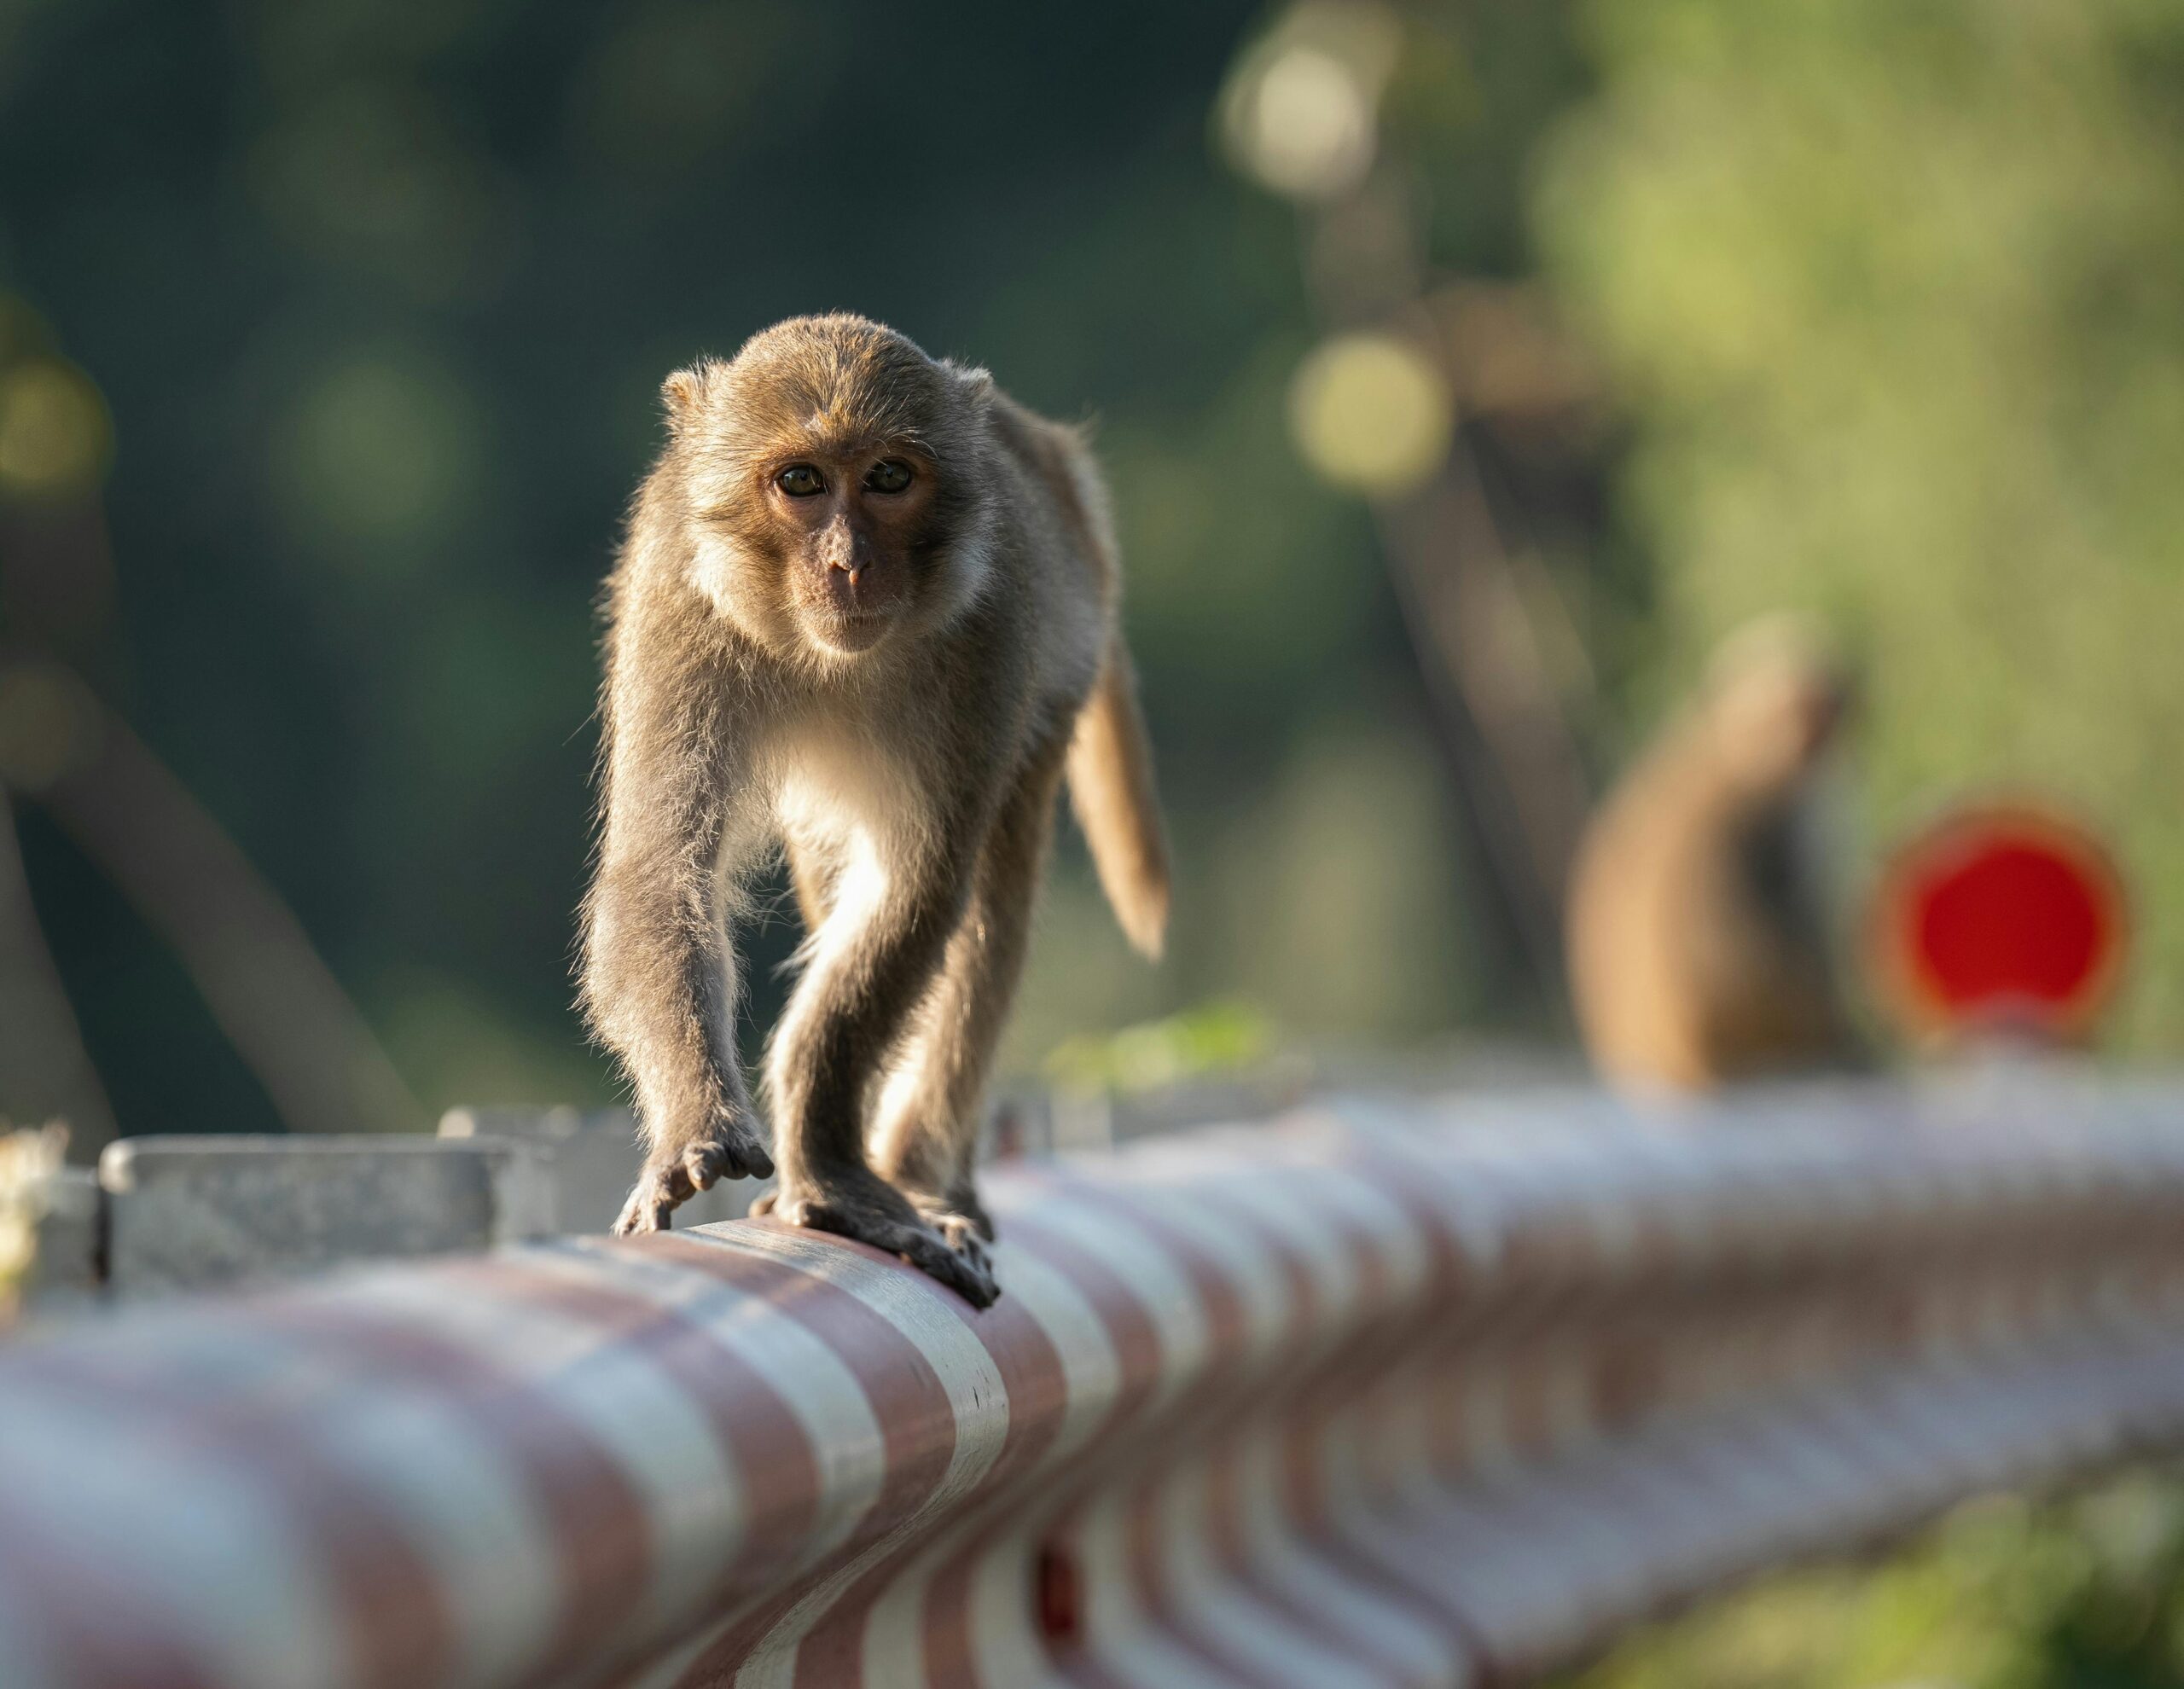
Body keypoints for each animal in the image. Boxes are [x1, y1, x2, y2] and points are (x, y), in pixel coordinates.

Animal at [576, 316, 1161, 1302]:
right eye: (801, 482)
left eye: (889, 478)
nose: (847, 565)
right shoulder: (678, 599)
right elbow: (663, 866)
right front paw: (697, 1126)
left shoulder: (991, 629)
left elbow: (920, 888)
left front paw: (830, 1171)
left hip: (1057, 674)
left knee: (990, 906)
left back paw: (925, 1175)